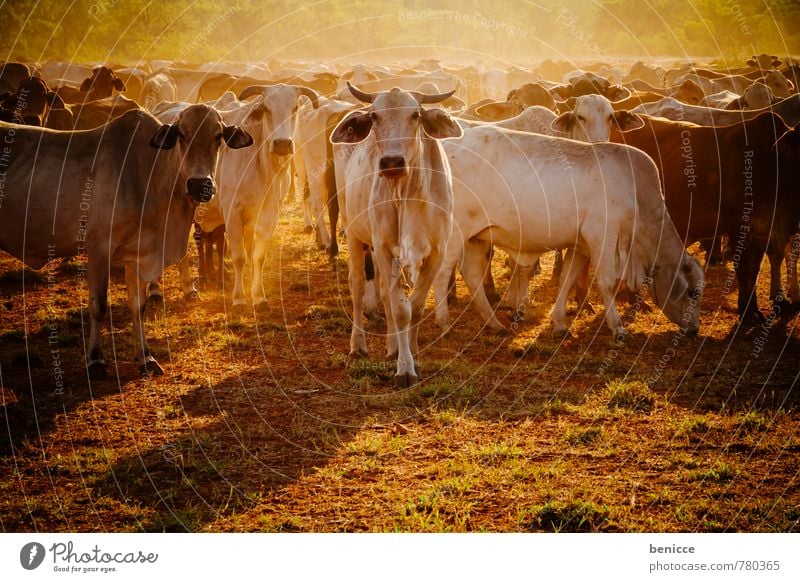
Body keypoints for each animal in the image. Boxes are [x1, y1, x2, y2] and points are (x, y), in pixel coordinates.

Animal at [0, 106, 253, 376]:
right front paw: (95, 360)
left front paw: (145, 357)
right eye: (181, 135)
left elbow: (138, 305)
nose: (199, 184)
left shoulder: (138, 254)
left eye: (218, 136)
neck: (149, 177)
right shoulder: (98, 249)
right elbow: (98, 306)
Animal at [330, 83, 462, 388]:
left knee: (384, 292)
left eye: (416, 115)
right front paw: (405, 369)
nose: (391, 162)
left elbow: (416, 306)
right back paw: (358, 345)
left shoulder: (437, 252)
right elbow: (402, 310)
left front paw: (411, 352)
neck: (408, 194)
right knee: (358, 287)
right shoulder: (385, 246)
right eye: (374, 116)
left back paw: (392, 347)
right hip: (354, 233)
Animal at [428, 125, 704, 340]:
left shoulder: (580, 245)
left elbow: (567, 279)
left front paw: (559, 323)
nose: (694, 330)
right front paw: (617, 327)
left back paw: (494, 323)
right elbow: (607, 282)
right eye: (693, 292)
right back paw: (444, 324)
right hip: (454, 233)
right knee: (441, 275)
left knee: (472, 275)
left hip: (475, 237)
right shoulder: (601, 235)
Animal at [608, 114, 796, 324]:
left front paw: (758, 308)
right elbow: (744, 270)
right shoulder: (740, 227)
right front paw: (747, 313)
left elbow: (755, 270)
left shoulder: (765, 233)